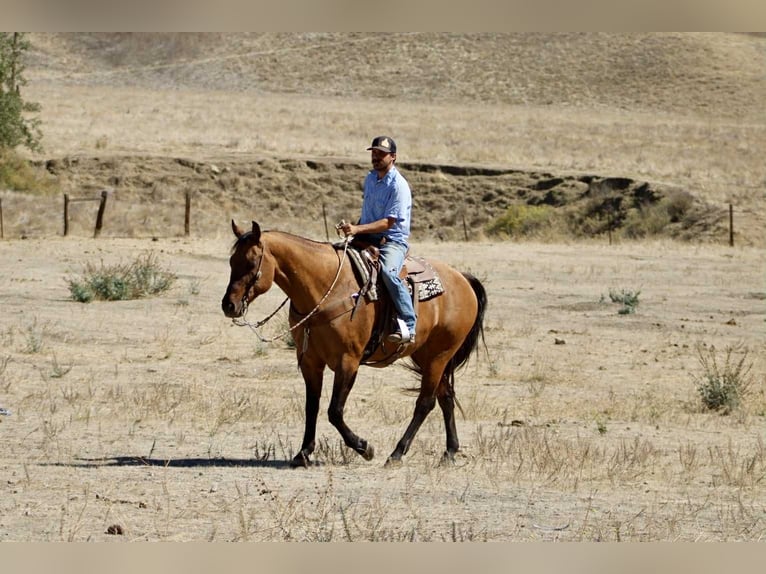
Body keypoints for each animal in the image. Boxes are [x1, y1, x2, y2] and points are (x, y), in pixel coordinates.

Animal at [221, 220, 487, 467]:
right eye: (232, 261)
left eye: (251, 263)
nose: (229, 305)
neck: (328, 288)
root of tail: (463, 279)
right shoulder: (309, 361)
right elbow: (312, 407)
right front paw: (303, 453)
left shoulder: (348, 361)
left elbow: (334, 411)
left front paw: (363, 447)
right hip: (426, 355)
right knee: (446, 397)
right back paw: (450, 451)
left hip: (439, 356)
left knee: (426, 402)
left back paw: (396, 453)